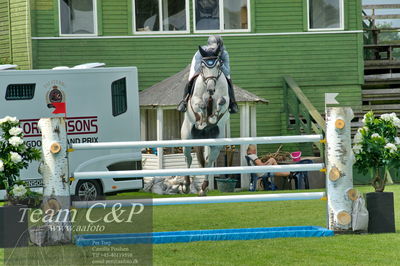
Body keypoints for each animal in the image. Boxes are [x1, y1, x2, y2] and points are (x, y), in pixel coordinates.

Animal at [181, 45, 231, 195]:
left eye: (218, 65)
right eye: (203, 66)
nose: (210, 89)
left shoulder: (225, 99)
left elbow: (222, 101)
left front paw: (213, 117)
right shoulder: (196, 100)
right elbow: (201, 104)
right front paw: (203, 120)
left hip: (216, 142)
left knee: (208, 161)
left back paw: (203, 188)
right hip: (187, 138)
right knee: (188, 158)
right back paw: (186, 185)